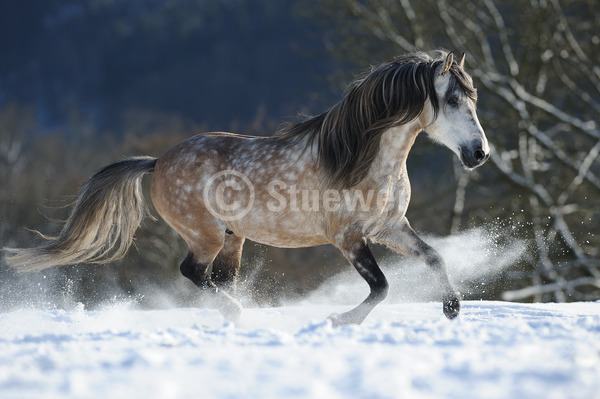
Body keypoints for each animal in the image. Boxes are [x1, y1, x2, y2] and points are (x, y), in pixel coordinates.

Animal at [4, 50, 490, 324]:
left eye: (474, 98)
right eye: (452, 99)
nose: (479, 153)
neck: (363, 160)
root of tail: (157, 162)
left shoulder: (390, 229)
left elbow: (434, 256)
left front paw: (452, 309)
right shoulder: (348, 238)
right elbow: (383, 287)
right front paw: (341, 320)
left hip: (232, 239)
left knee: (217, 279)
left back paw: (231, 316)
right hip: (206, 234)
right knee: (193, 273)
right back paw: (235, 313)